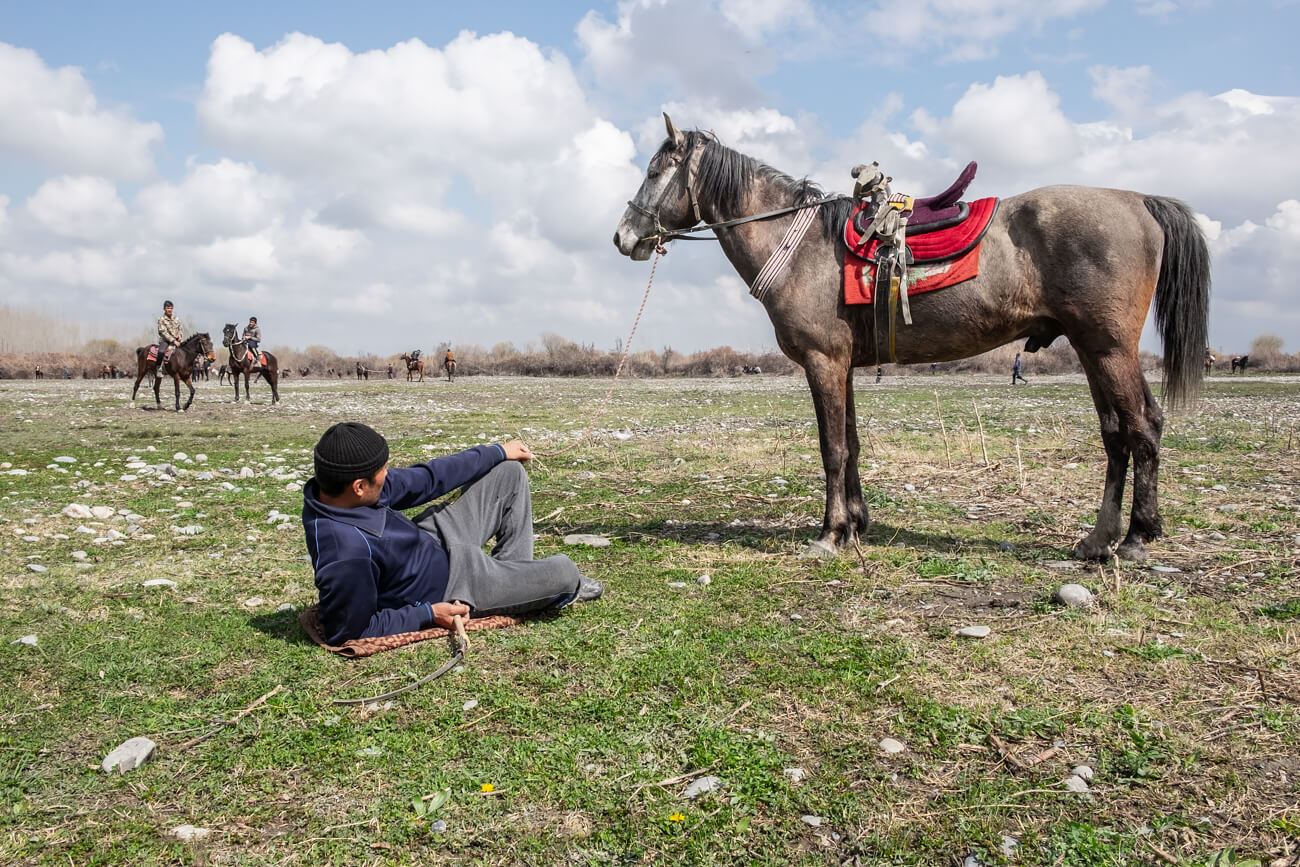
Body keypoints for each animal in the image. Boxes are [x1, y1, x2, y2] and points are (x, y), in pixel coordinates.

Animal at [611, 115, 1206, 564]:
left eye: (654, 171)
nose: (623, 237)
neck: (799, 245)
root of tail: (1137, 200)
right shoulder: (844, 365)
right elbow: (851, 444)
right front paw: (856, 524)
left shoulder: (823, 362)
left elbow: (831, 447)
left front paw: (830, 533)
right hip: (1091, 349)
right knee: (1116, 435)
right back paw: (1099, 538)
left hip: (1108, 349)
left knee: (1142, 427)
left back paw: (1136, 537)